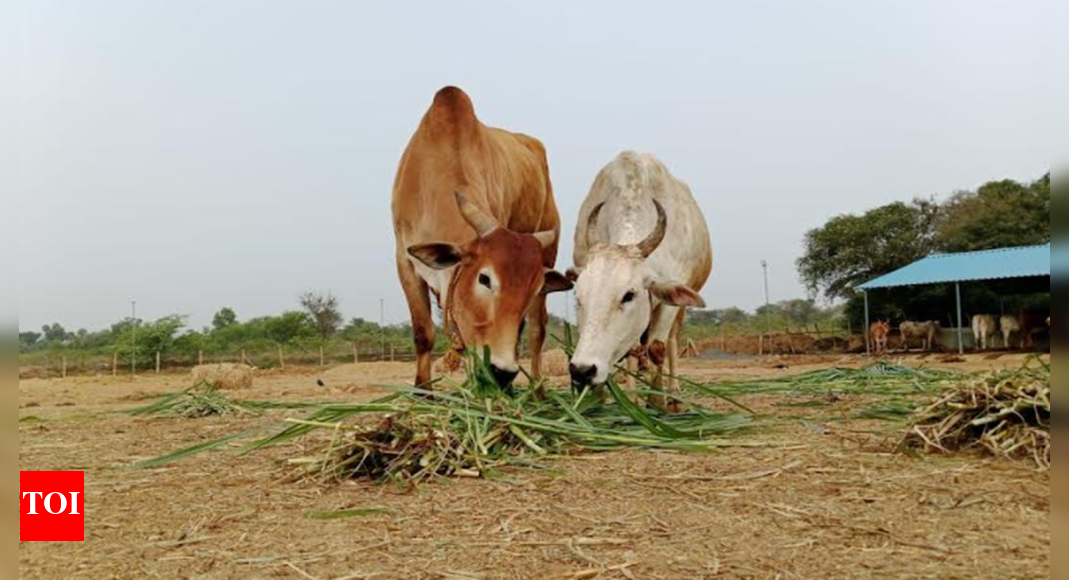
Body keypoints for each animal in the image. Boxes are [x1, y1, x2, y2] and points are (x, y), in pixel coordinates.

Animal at [392, 87, 572, 389]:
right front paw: (423, 392)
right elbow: (423, 333)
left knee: (536, 330)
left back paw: (536, 390)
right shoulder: (405, 262)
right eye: (484, 279)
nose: (502, 372)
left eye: (531, 288)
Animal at [567, 152, 712, 412]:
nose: (582, 370)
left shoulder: (670, 297)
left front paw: (656, 402)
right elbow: (631, 352)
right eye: (579, 298)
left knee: (671, 342)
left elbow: (657, 348)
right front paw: (609, 401)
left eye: (629, 295)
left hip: (681, 308)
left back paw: (673, 396)